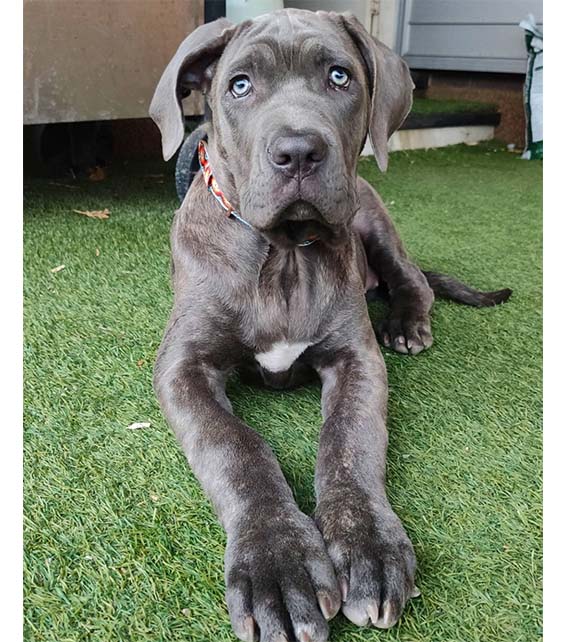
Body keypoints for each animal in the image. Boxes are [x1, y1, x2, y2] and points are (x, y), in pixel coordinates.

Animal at [149, 10, 512, 640]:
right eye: (239, 85)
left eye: (340, 76)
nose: (298, 151)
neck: (284, 254)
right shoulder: (182, 367)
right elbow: (233, 446)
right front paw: (276, 562)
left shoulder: (356, 359)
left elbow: (348, 438)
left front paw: (366, 545)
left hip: (372, 215)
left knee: (413, 280)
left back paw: (407, 324)